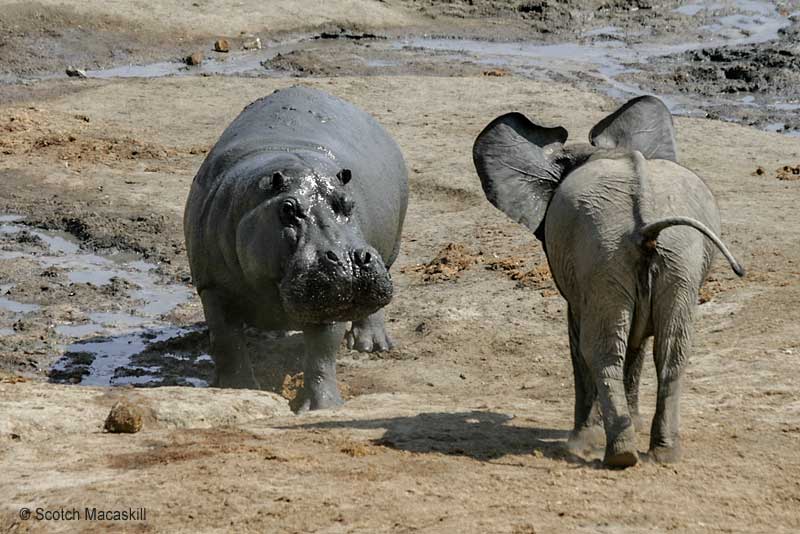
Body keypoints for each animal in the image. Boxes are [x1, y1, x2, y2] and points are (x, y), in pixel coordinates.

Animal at [185, 87, 410, 414]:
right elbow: (227, 342)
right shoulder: (212, 287)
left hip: (388, 254)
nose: (348, 260)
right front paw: (239, 390)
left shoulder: (333, 297)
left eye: (348, 202)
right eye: (287, 208)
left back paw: (370, 346)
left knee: (371, 311)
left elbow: (321, 353)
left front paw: (322, 407)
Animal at [476, 96, 744, 468]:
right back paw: (661, 454)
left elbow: (581, 338)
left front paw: (583, 439)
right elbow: (639, 342)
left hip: (608, 255)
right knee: (672, 349)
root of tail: (645, 221)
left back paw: (613, 454)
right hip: (673, 257)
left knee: (600, 350)